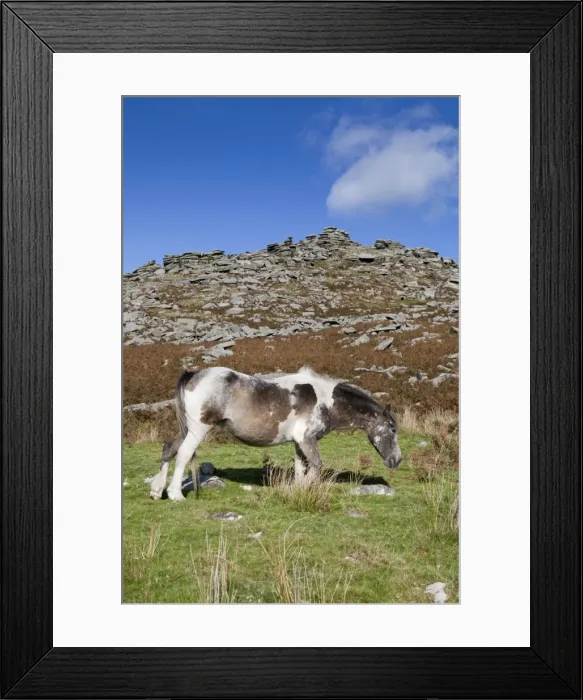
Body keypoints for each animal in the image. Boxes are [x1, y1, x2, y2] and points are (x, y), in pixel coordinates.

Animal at [149, 366, 402, 502]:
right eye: (392, 428)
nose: (397, 460)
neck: (326, 401)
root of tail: (194, 375)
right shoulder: (307, 440)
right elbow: (316, 466)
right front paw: (301, 490)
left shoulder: (300, 443)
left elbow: (301, 469)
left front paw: (298, 491)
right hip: (198, 429)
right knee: (183, 454)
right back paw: (175, 494)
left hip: (187, 429)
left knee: (168, 449)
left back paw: (157, 490)